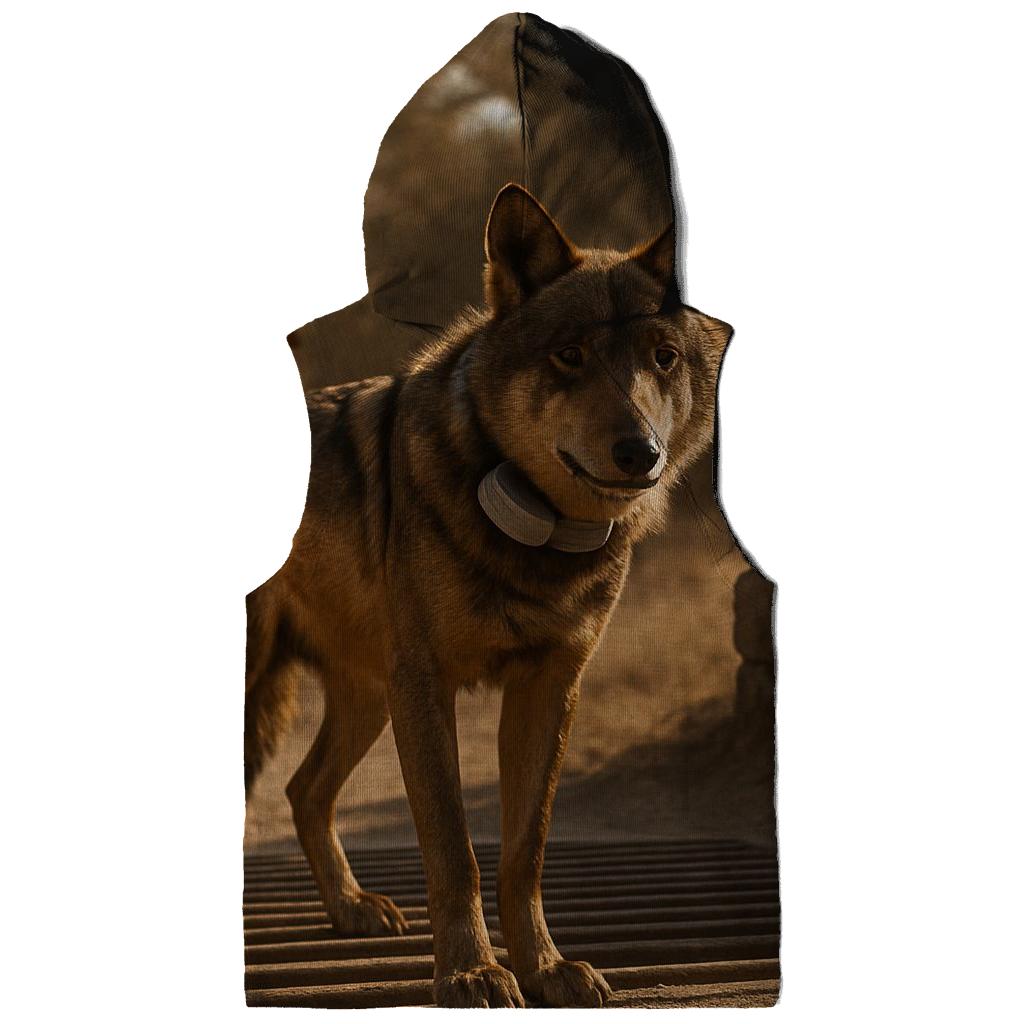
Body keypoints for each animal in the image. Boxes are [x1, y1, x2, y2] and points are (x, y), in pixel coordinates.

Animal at [245, 183, 732, 1007]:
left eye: (662, 359)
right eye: (569, 356)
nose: (640, 452)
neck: (536, 536)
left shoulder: (549, 688)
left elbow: (523, 852)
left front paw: (544, 966)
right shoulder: (427, 688)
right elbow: (455, 851)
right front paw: (470, 970)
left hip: (367, 698)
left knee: (305, 791)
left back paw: (351, 908)